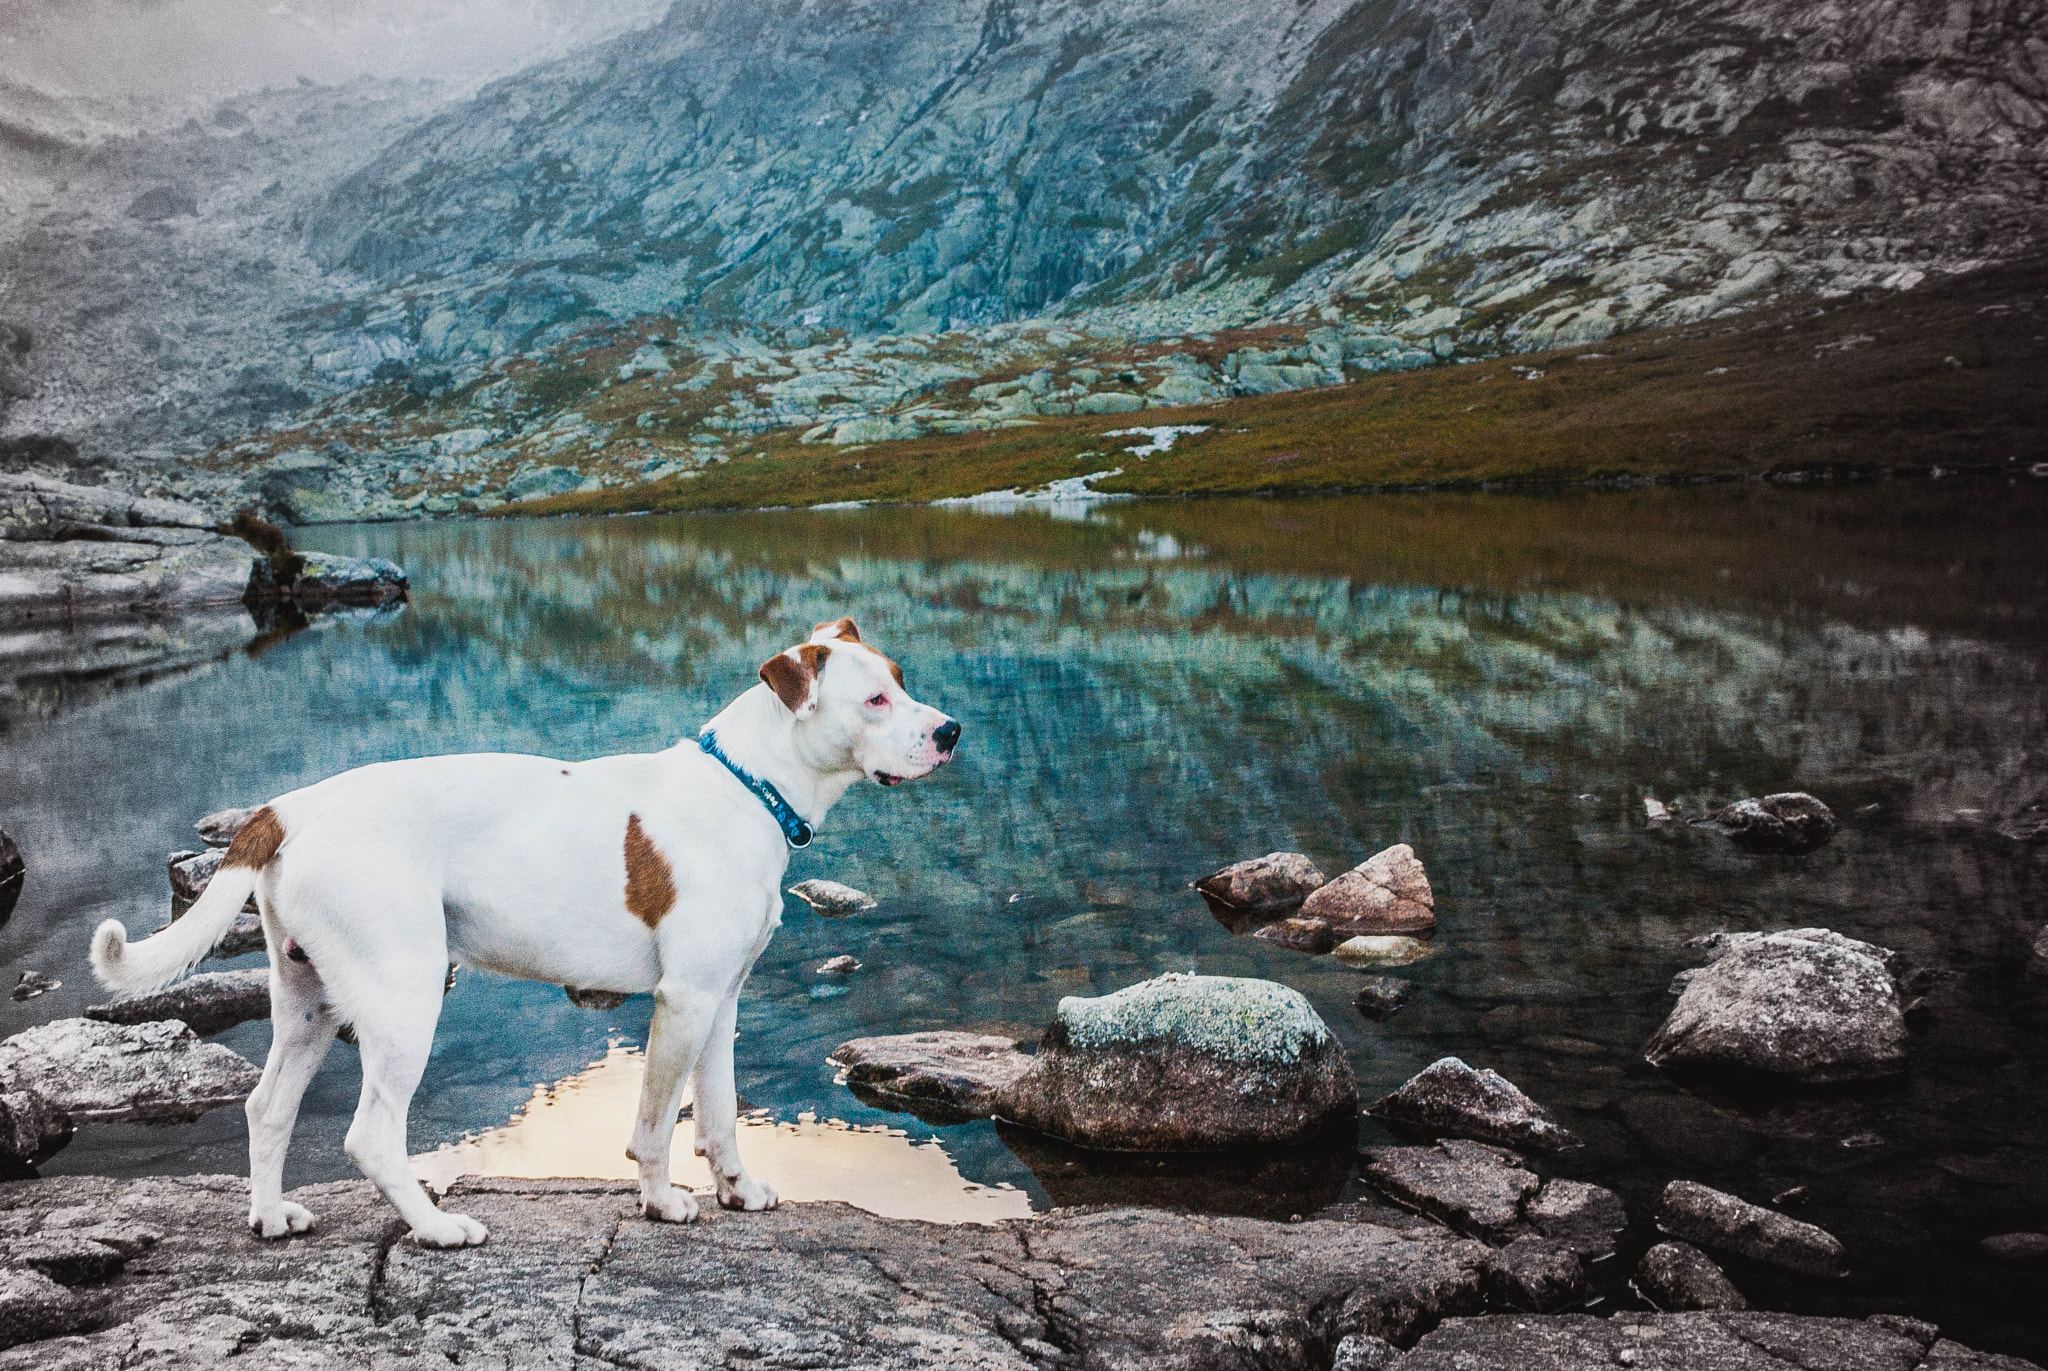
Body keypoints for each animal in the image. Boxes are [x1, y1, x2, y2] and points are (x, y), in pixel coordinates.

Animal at [88, 614, 958, 1245]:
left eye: (901, 679)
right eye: (875, 699)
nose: (950, 731)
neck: (750, 786)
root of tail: (292, 805)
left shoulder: (722, 1001)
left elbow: (718, 1115)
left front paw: (738, 1189)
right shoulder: (683, 1002)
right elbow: (655, 1122)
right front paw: (661, 1202)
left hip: (308, 1000)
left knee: (267, 1108)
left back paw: (271, 1216)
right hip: (404, 999)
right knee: (372, 1134)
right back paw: (438, 1227)